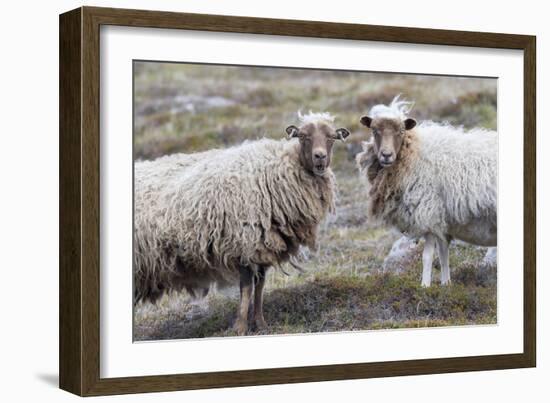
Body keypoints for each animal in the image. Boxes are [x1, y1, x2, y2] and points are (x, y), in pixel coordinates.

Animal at [133, 112, 350, 336]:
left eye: (331, 137)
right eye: (304, 136)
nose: (320, 157)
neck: (276, 171)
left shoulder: (263, 247)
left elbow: (260, 285)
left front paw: (261, 324)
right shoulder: (244, 243)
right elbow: (246, 288)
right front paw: (240, 327)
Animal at [358, 96, 500, 288]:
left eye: (401, 131)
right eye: (374, 130)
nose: (386, 155)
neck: (413, 153)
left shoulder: (428, 212)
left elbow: (427, 256)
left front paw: (425, 286)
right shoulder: (440, 219)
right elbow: (443, 253)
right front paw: (446, 284)